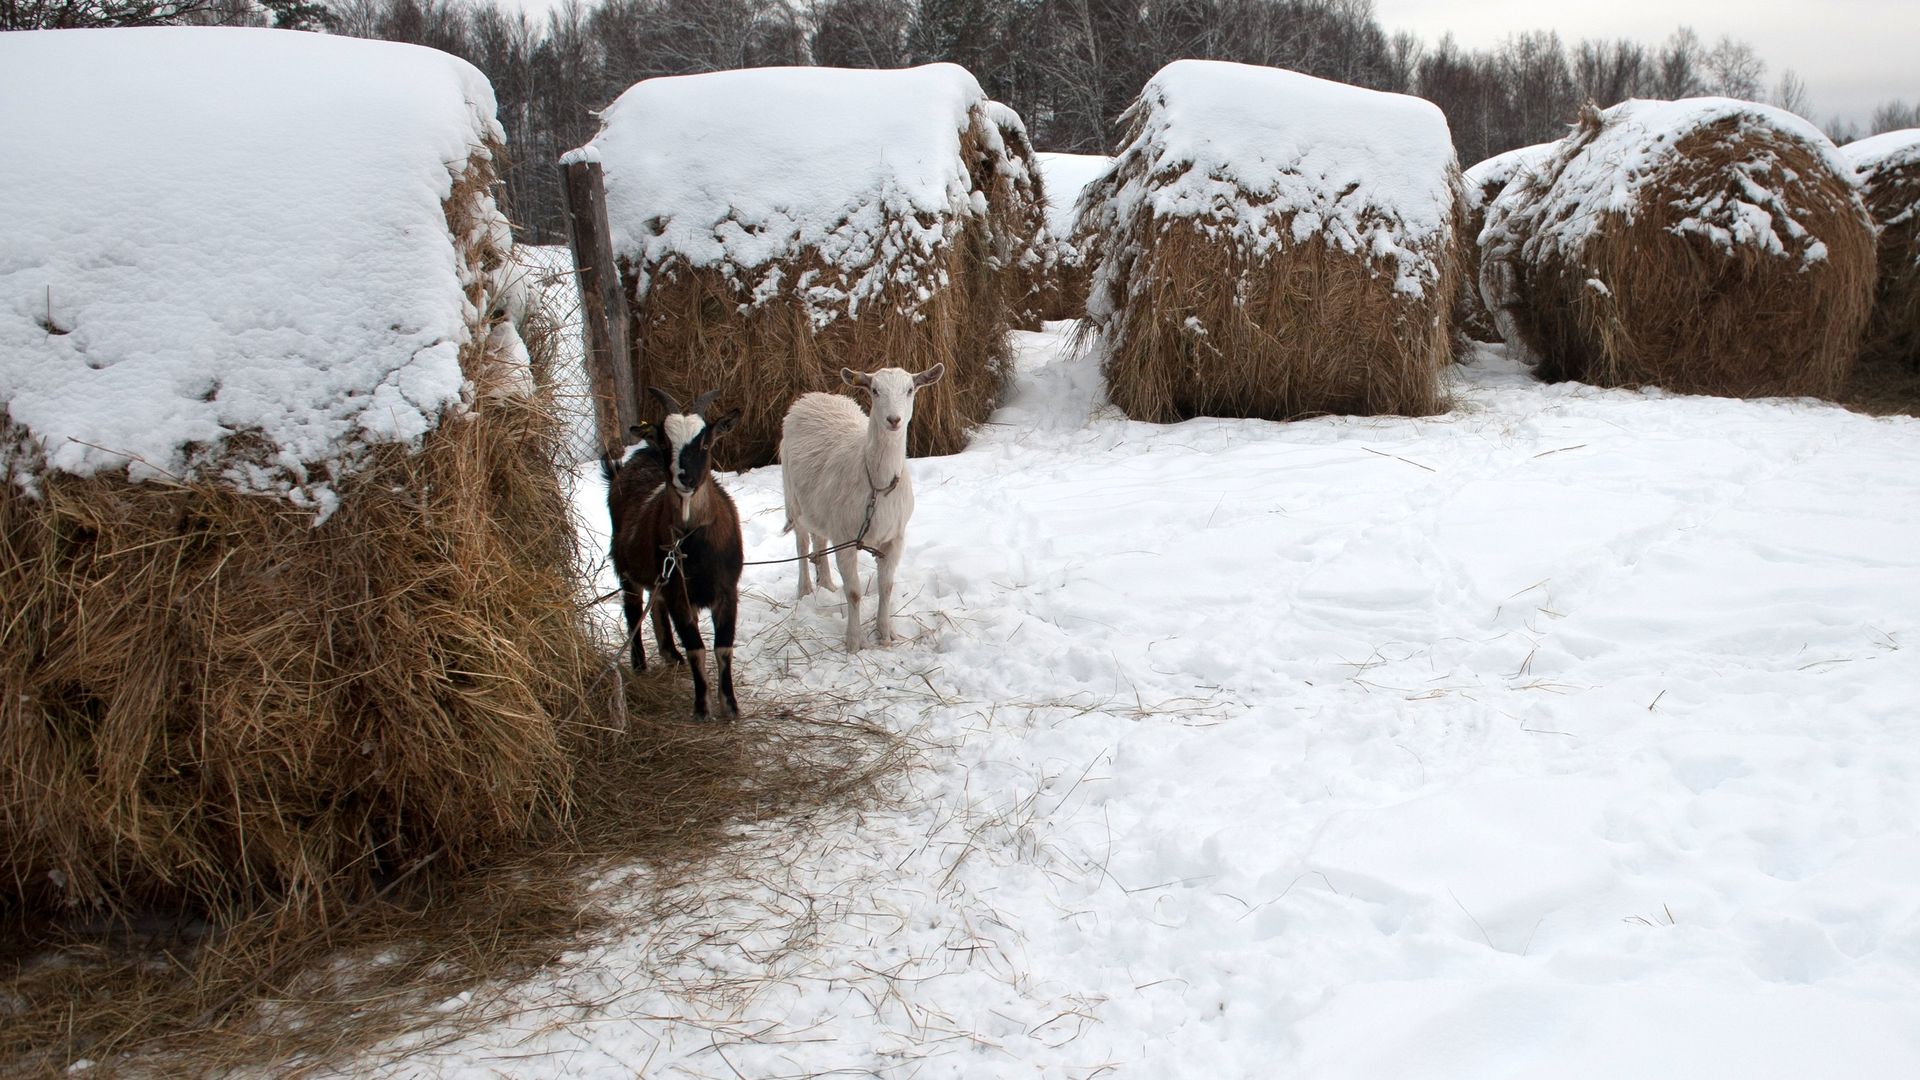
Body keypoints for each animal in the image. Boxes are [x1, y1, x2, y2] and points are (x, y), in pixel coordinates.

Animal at [604, 387, 744, 719]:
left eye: (706, 441)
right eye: (668, 443)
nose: (685, 478)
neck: (694, 542)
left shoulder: (727, 590)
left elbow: (723, 648)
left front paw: (729, 705)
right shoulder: (680, 594)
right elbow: (697, 648)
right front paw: (702, 707)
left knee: (655, 605)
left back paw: (670, 653)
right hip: (626, 567)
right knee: (633, 608)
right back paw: (640, 664)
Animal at [778, 364, 945, 652]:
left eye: (910, 390)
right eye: (875, 390)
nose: (893, 420)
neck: (877, 485)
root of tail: (813, 396)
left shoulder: (894, 538)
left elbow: (886, 587)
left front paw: (886, 635)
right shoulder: (845, 538)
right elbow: (854, 592)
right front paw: (854, 643)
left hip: (820, 509)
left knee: (819, 540)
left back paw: (827, 585)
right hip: (793, 499)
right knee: (802, 544)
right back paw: (806, 590)